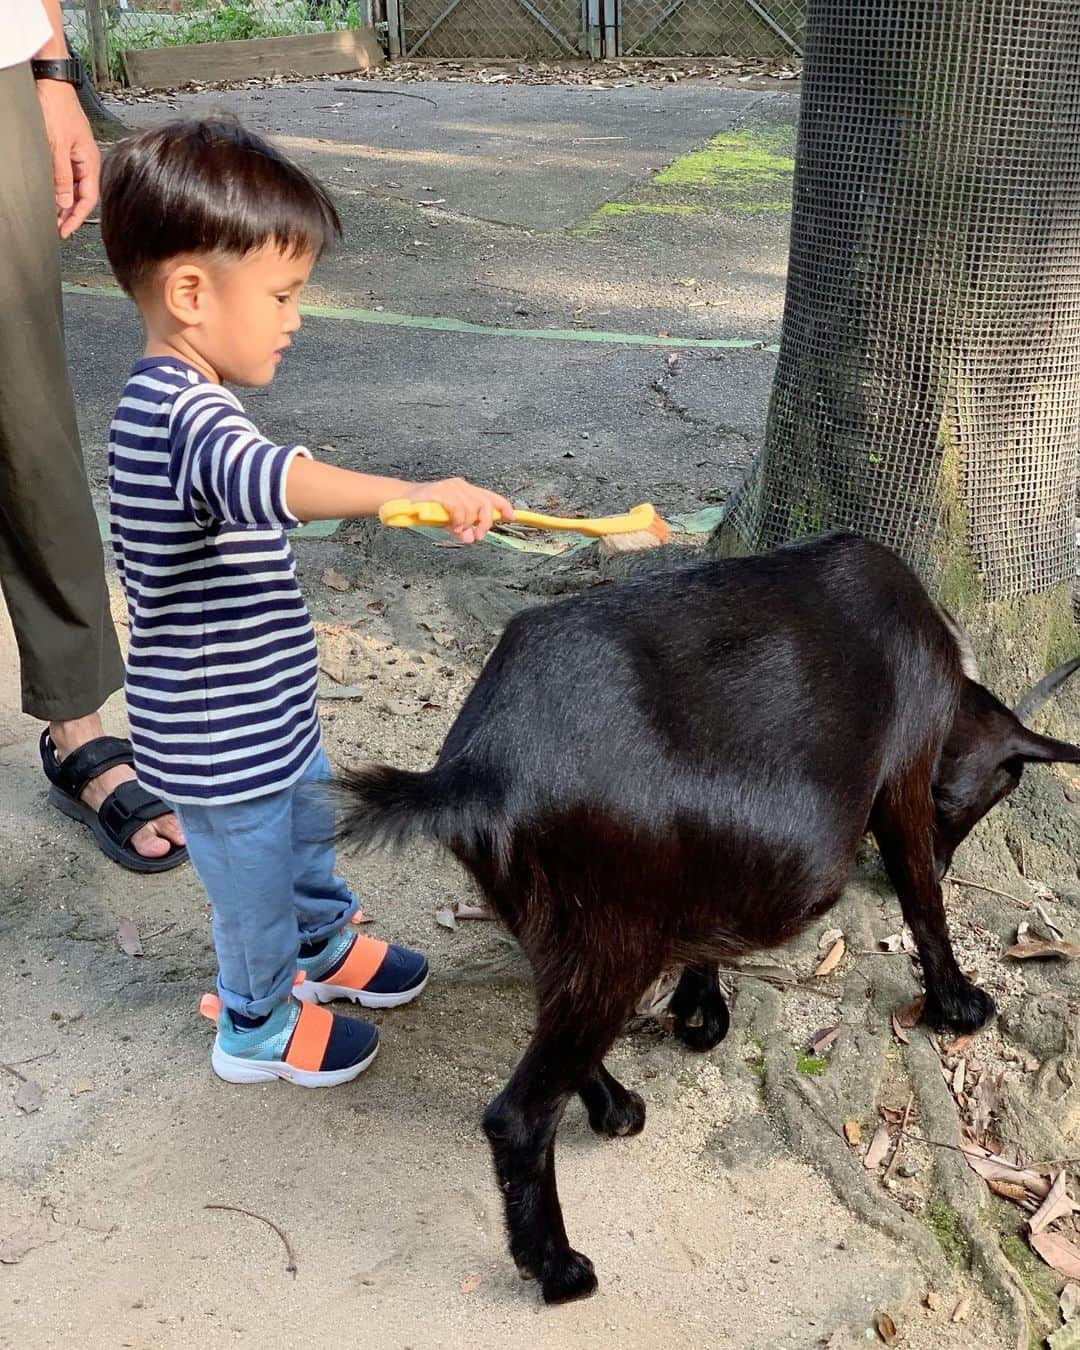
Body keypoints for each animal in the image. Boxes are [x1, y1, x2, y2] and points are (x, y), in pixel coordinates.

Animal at [341, 531, 1074, 1301]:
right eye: (996, 790)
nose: (946, 852)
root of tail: (475, 771)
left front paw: (701, 1010)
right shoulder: (903, 776)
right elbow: (923, 903)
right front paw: (958, 1002)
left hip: (561, 926)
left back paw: (614, 1107)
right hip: (614, 936)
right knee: (519, 1114)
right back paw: (559, 1267)